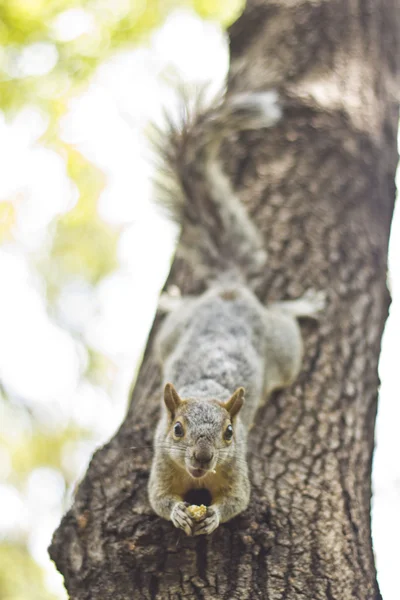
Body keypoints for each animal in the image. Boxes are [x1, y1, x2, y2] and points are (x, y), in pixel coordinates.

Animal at [147, 91, 324, 536]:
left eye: (230, 433)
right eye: (178, 429)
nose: (202, 458)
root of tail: (231, 290)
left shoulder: (237, 470)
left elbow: (239, 502)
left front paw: (212, 517)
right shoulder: (159, 463)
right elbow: (157, 500)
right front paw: (178, 512)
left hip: (284, 354)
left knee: (284, 320)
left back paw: (301, 305)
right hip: (170, 336)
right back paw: (174, 300)